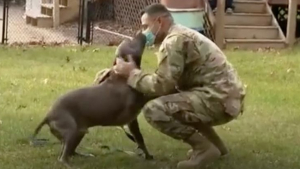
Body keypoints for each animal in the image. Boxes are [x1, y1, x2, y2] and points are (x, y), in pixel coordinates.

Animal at [31, 32, 152, 168]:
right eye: (131, 41)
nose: (140, 33)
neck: (119, 76)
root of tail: (48, 116)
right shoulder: (136, 104)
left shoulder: (132, 121)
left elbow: (140, 139)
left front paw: (147, 155)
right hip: (71, 130)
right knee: (62, 157)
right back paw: (71, 165)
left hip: (79, 132)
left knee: (69, 151)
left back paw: (82, 155)